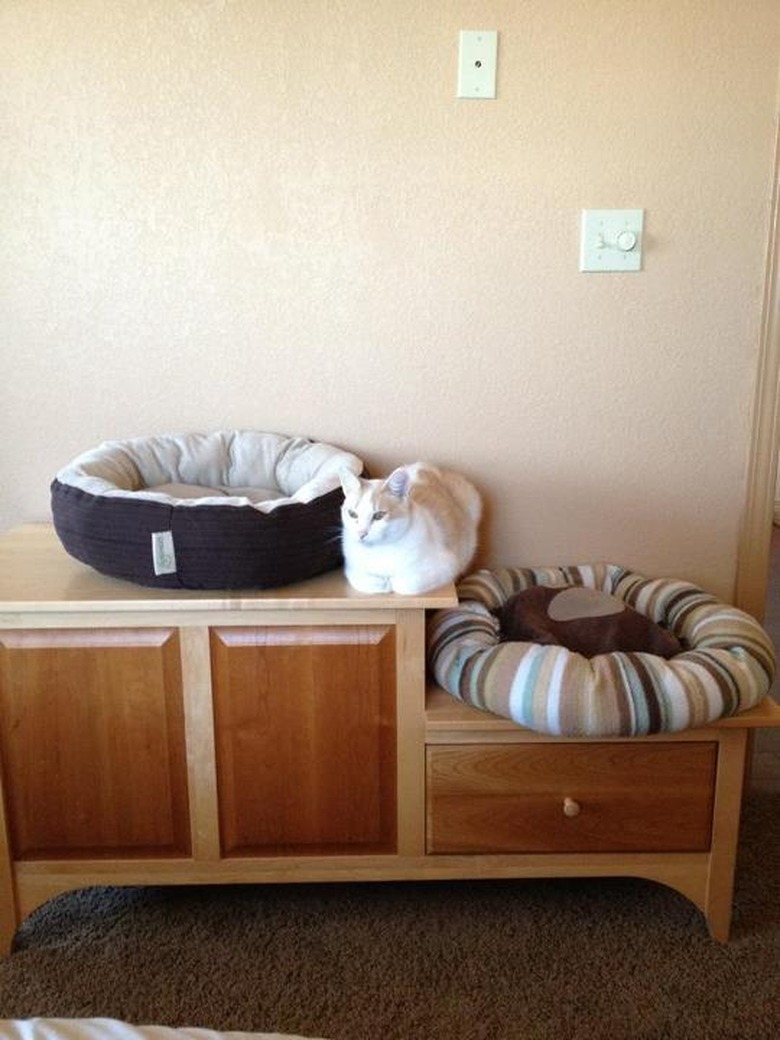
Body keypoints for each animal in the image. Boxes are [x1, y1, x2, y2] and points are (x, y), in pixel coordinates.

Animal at [341, 463, 482, 594]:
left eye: (379, 516)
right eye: (352, 514)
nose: (361, 533)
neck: (380, 550)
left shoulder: (447, 566)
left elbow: (403, 583)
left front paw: (391, 582)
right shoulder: (351, 568)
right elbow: (364, 580)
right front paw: (380, 583)